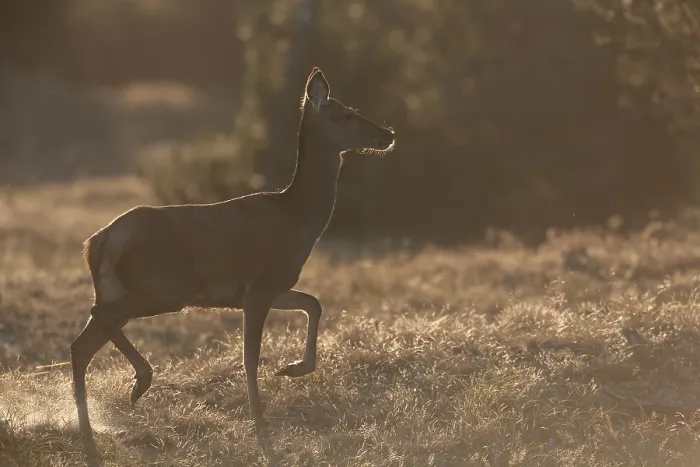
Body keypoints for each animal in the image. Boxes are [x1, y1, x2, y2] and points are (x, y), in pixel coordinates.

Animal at [71, 67, 395, 442]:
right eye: (347, 114)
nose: (388, 134)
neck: (297, 218)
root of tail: (98, 242)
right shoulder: (260, 287)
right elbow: (250, 358)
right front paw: (261, 425)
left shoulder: (272, 286)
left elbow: (313, 303)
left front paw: (293, 369)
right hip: (163, 287)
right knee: (98, 318)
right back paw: (141, 381)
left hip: (121, 288)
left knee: (81, 345)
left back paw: (89, 432)